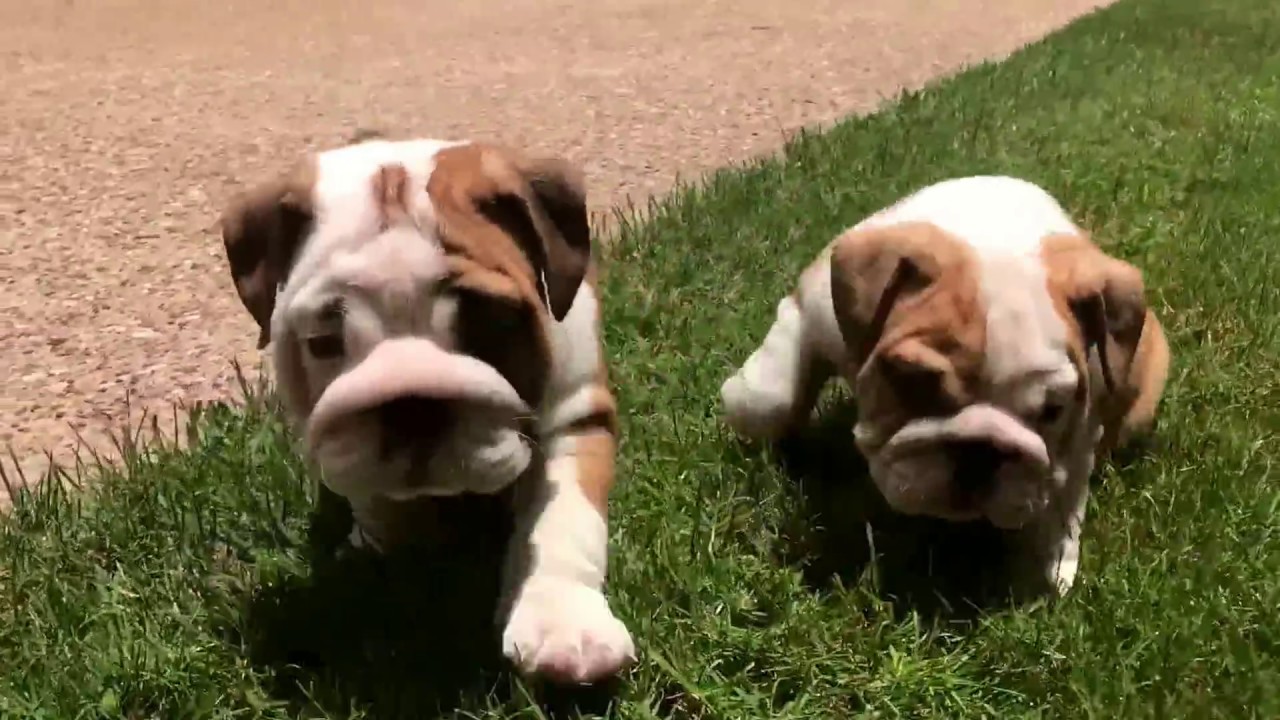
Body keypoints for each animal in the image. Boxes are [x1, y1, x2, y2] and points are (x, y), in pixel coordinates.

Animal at [222, 135, 637, 681]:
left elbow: (564, 520)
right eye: (323, 341)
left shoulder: (576, 416)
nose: (413, 407)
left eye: (493, 324)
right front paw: (381, 542)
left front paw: (563, 623)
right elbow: (374, 498)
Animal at [721, 175, 1172, 594]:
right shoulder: (811, 315)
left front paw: (1050, 568)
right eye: (911, 380)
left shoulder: (1081, 426)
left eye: (1051, 411)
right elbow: (771, 399)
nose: (978, 451)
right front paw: (741, 402)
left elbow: (1063, 494)